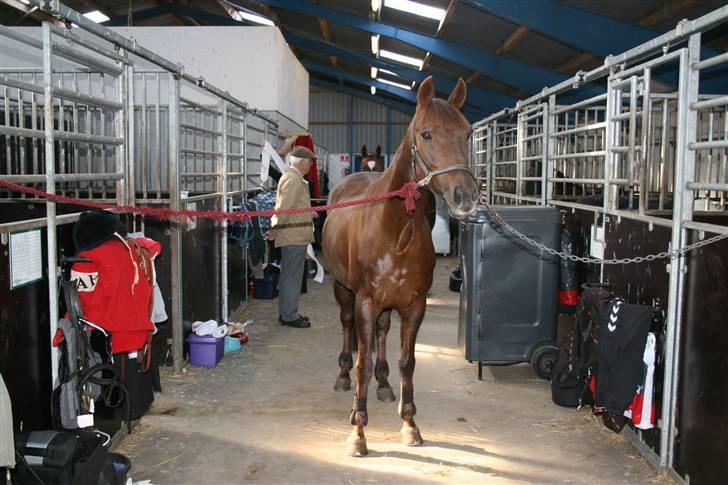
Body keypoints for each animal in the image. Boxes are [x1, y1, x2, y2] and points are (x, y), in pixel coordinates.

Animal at [322, 77, 480, 456]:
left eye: (467, 133)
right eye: (426, 134)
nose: (465, 197)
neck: (396, 230)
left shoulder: (414, 304)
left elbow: (408, 361)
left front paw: (409, 424)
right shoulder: (364, 301)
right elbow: (362, 362)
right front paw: (358, 431)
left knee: (381, 333)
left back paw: (383, 383)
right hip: (343, 290)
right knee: (347, 327)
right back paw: (343, 377)